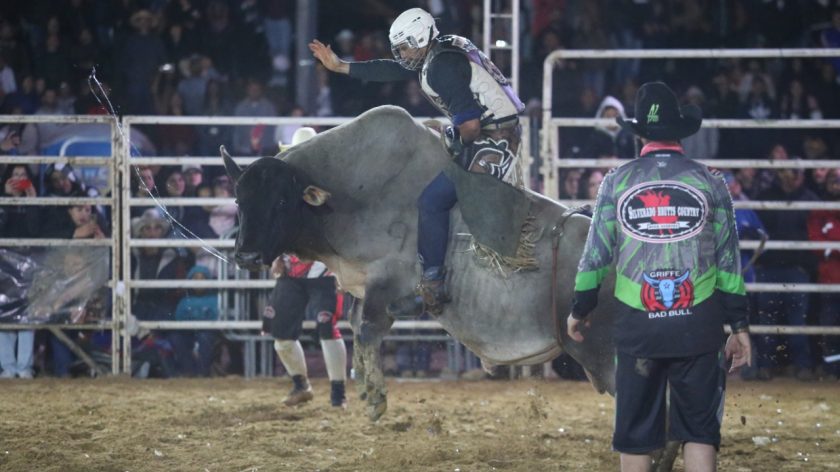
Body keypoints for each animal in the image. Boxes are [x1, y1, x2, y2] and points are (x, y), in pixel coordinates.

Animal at [220, 106, 620, 420]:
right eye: (239, 200)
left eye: (282, 202)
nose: (246, 256)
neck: (351, 194)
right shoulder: (363, 285)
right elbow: (355, 326)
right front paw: (364, 386)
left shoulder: (388, 281)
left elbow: (367, 330)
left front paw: (376, 398)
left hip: (603, 354)